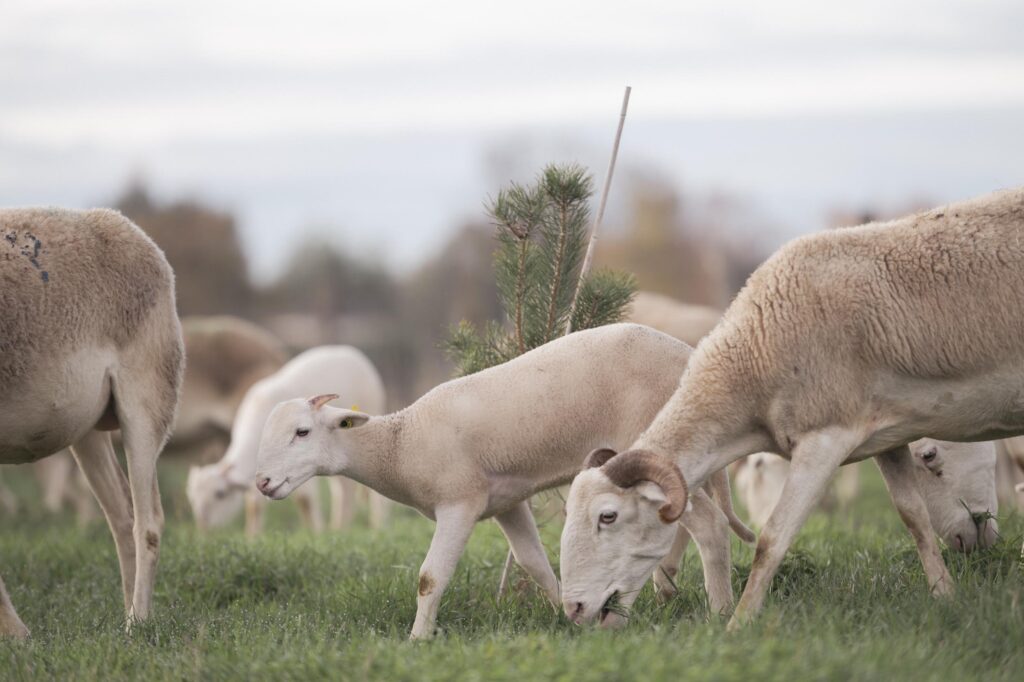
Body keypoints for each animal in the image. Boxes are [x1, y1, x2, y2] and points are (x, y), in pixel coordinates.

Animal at [0, 208, 182, 638]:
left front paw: (17, 637)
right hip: (85, 430)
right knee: (122, 516)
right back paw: (126, 617)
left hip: (146, 401)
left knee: (148, 523)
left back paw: (137, 626)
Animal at [186, 346, 389, 532]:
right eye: (192, 498)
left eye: (219, 494)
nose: (203, 530)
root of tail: (347, 350)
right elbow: (254, 505)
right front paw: (252, 537)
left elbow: (305, 500)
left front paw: (316, 533)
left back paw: (361, 526)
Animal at [252, 323, 757, 638]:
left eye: (302, 432)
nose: (262, 482)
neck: (400, 444)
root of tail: (688, 354)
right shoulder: (507, 502)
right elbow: (533, 563)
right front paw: (563, 616)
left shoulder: (459, 503)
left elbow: (430, 578)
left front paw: (418, 639)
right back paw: (668, 590)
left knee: (709, 526)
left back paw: (720, 613)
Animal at [561, 186, 1024, 626]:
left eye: (607, 516)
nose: (574, 609)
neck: (753, 352)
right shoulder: (888, 435)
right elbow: (914, 518)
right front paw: (945, 596)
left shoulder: (825, 438)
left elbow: (772, 540)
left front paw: (739, 625)